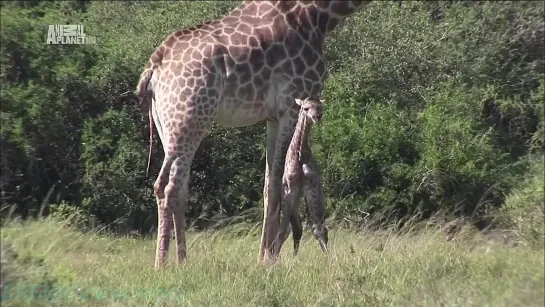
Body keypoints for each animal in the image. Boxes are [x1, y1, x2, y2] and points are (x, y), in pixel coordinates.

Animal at [276, 98, 328, 258]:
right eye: (305, 108)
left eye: (320, 107)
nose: (317, 116)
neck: (299, 156)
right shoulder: (288, 191)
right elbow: (282, 231)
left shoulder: (312, 189)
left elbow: (318, 229)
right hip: (293, 203)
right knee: (295, 228)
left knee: (316, 227)